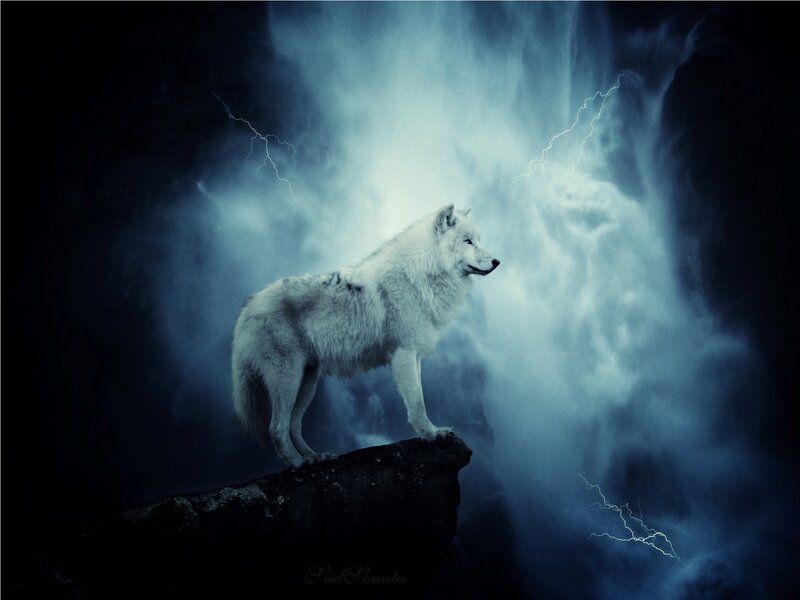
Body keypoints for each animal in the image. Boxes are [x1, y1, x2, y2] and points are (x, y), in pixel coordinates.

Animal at [231, 204, 499, 467]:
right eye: (468, 242)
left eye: (478, 240)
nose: (497, 261)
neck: (418, 274)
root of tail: (247, 308)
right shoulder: (403, 354)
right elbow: (417, 402)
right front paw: (432, 435)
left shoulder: (414, 356)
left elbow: (418, 399)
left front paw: (430, 432)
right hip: (288, 379)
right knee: (276, 428)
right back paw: (298, 464)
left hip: (307, 382)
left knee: (294, 426)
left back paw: (315, 458)